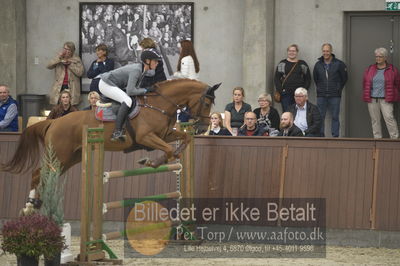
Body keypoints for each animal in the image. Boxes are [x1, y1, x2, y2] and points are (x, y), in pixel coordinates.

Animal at [0, 79, 219, 204]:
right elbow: (168, 150)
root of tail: (53, 121)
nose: (202, 128)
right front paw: (152, 162)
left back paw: (39, 205)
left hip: (71, 158)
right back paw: (30, 206)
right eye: (207, 102)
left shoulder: (164, 134)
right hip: (60, 155)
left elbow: (183, 139)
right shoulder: (147, 137)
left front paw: (166, 157)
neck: (159, 104)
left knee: (46, 176)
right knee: (38, 173)